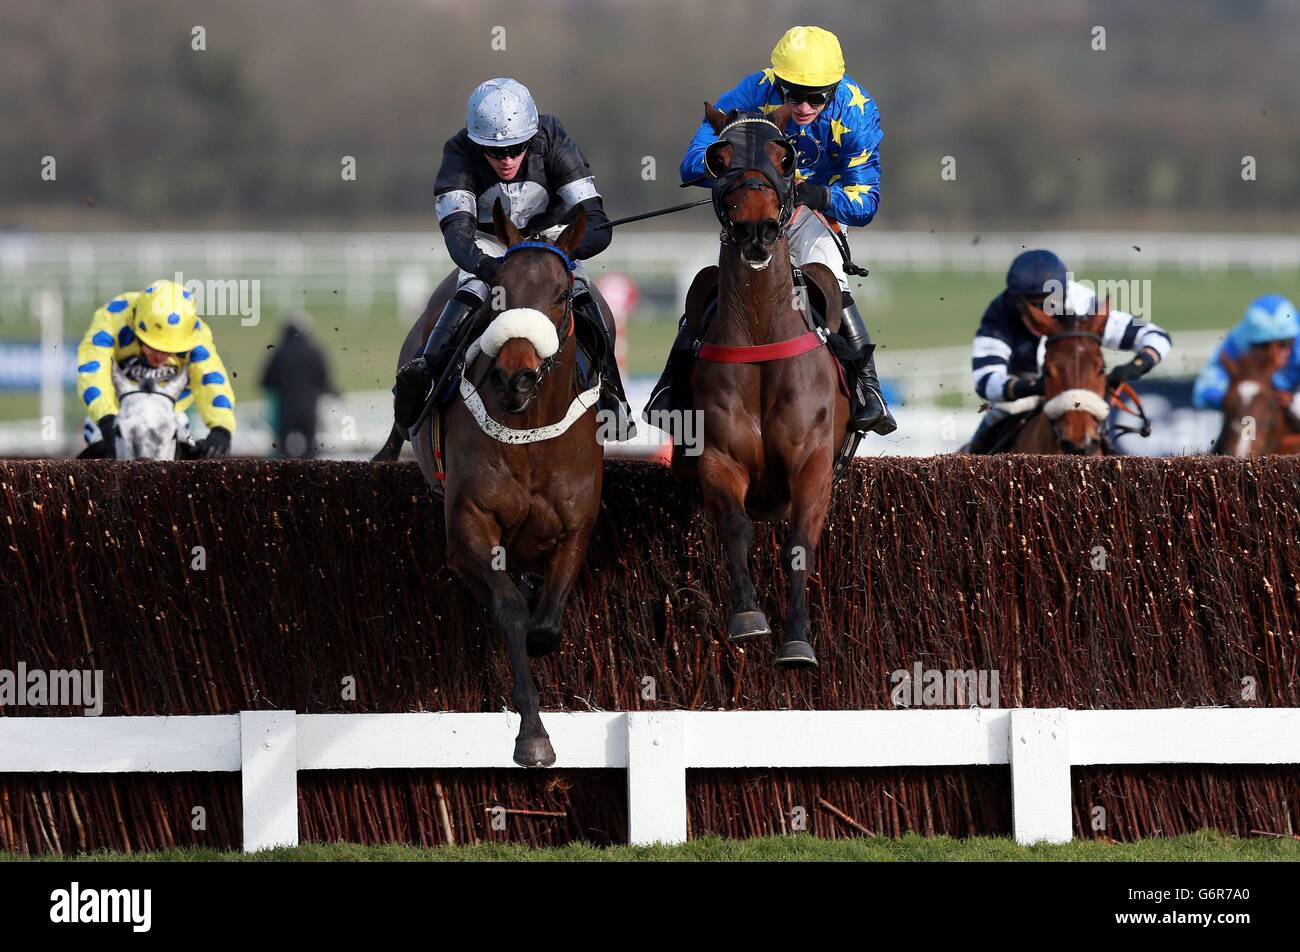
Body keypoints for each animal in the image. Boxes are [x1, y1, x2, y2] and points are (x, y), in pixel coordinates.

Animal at [387, 198, 605, 764]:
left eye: (560, 295)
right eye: (500, 290)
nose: (515, 377)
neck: (529, 432)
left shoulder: (577, 523)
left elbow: (546, 624)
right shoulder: (469, 520)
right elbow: (510, 610)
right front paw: (533, 734)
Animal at [676, 104, 857, 671]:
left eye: (786, 157)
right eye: (719, 157)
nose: (755, 228)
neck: (759, 334)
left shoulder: (813, 461)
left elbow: (799, 542)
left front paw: (798, 641)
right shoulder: (719, 457)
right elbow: (736, 528)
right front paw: (748, 616)